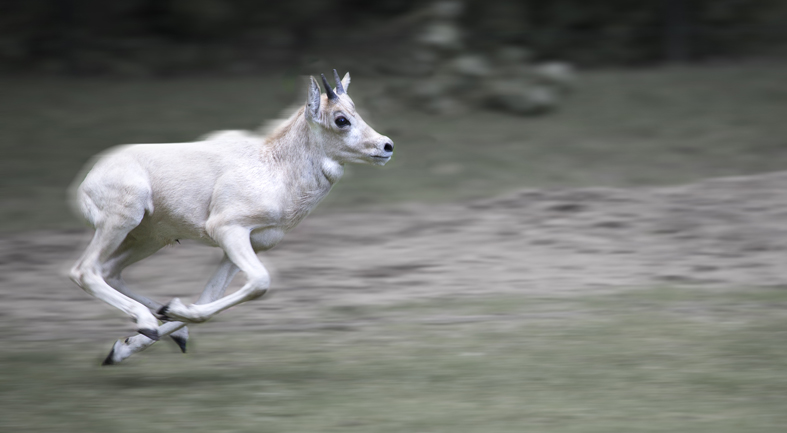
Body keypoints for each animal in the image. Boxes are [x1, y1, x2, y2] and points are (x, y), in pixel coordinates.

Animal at [69, 71, 394, 364]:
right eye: (341, 119)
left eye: (355, 110)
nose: (386, 146)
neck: (274, 167)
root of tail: (86, 182)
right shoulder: (228, 230)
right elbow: (260, 282)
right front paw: (167, 315)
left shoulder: (246, 245)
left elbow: (208, 297)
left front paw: (150, 328)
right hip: (122, 221)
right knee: (84, 271)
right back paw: (147, 321)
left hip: (151, 239)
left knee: (109, 270)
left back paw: (158, 329)